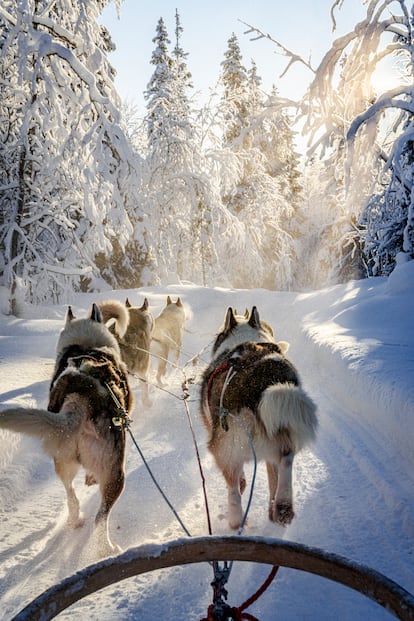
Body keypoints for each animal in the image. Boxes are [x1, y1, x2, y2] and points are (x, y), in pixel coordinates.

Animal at [0, 302, 133, 556]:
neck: (85, 346)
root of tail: (79, 399)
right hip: (116, 474)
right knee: (100, 518)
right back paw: (106, 549)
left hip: (63, 462)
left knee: (71, 497)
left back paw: (74, 520)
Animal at [201, 306, 316, 528]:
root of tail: (261, 381)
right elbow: (273, 476)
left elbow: (241, 481)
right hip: (282, 425)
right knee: (286, 460)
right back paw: (282, 506)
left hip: (225, 447)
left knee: (233, 489)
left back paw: (236, 520)